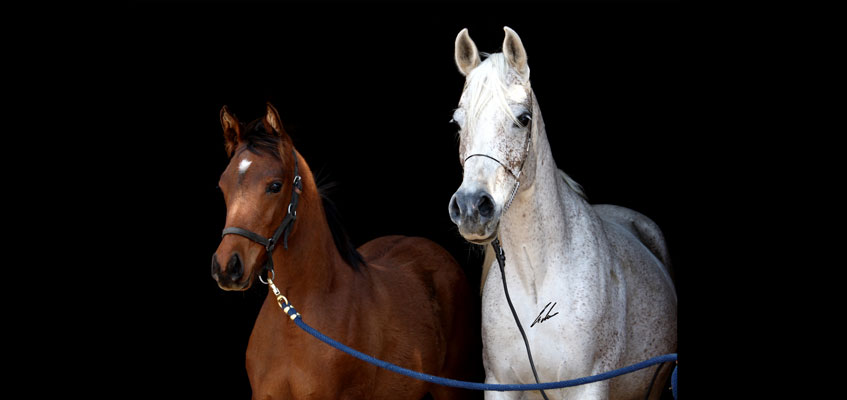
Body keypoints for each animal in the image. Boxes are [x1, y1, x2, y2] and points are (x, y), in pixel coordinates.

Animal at [447, 27, 677, 400]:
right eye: (457, 122)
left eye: (523, 118)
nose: (470, 207)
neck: (535, 280)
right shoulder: (499, 384)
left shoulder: (589, 386)